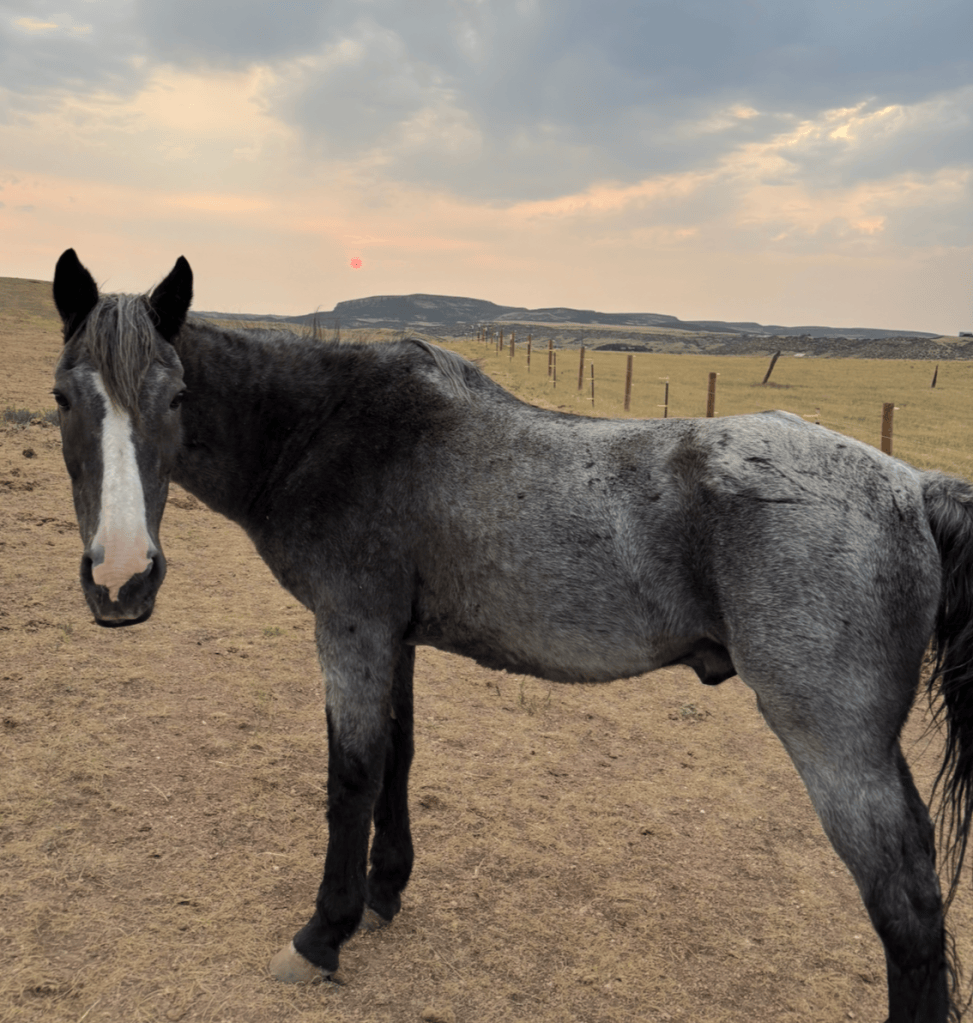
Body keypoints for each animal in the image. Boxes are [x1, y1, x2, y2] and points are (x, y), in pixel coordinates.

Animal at [51, 248, 973, 1023]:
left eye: (176, 396)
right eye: (64, 398)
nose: (120, 580)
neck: (329, 427)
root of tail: (909, 483)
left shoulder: (350, 629)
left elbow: (350, 774)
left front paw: (323, 933)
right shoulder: (394, 636)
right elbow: (397, 755)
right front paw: (384, 889)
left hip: (834, 745)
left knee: (906, 908)